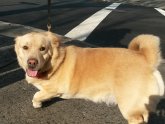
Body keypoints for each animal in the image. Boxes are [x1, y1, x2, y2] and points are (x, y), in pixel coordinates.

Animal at [14, 31, 164, 123]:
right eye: (25, 47)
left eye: (43, 49)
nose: (32, 63)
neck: (55, 62)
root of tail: (145, 58)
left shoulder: (55, 89)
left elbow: (36, 95)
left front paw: (37, 104)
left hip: (128, 105)